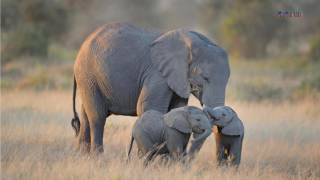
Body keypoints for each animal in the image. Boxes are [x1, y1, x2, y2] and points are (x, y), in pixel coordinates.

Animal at [71, 22, 229, 153]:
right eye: (205, 78)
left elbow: (176, 109)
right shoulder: (157, 75)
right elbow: (148, 107)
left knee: (85, 116)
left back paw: (82, 157)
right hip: (88, 76)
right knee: (97, 117)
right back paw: (97, 158)